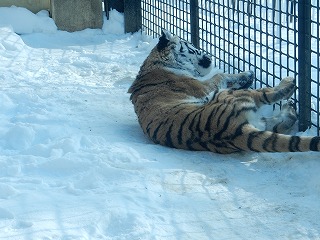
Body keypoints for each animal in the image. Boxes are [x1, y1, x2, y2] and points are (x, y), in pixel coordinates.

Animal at [127, 29, 320, 154]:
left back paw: (290, 107)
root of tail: (232, 131)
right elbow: (220, 75)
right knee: (266, 95)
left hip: (257, 120)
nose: (209, 56)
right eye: (192, 46)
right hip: (231, 95)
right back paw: (288, 85)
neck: (156, 63)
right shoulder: (202, 86)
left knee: (283, 122)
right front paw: (247, 75)